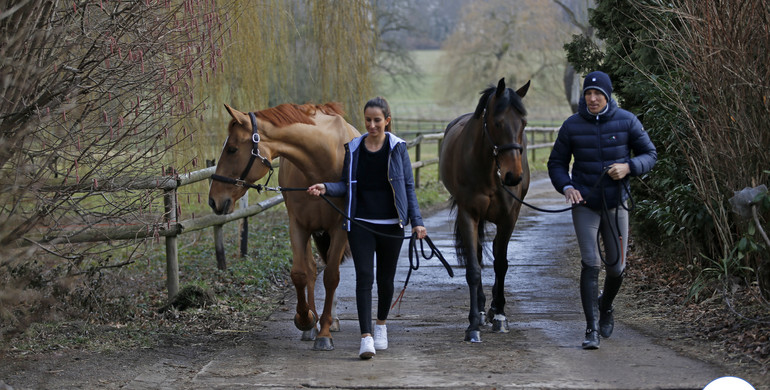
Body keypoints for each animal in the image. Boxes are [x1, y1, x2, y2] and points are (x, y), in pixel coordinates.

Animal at [207, 101, 356, 350]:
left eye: (232, 150)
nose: (213, 200)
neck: (323, 164)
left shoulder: (340, 228)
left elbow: (331, 277)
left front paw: (325, 333)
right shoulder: (298, 225)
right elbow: (300, 274)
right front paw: (306, 319)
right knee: (313, 269)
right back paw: (313, 325)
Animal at [438, 78, 528, 342]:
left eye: (523, 123)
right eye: (498, 123)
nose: (513, 176)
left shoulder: (509, 218)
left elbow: (501, 264)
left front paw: (500, 316)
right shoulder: (469, 215)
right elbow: (474, 269)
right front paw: (472, 325)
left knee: (498, 254)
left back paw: (494, 308)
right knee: (477, 254)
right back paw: (479, 310)